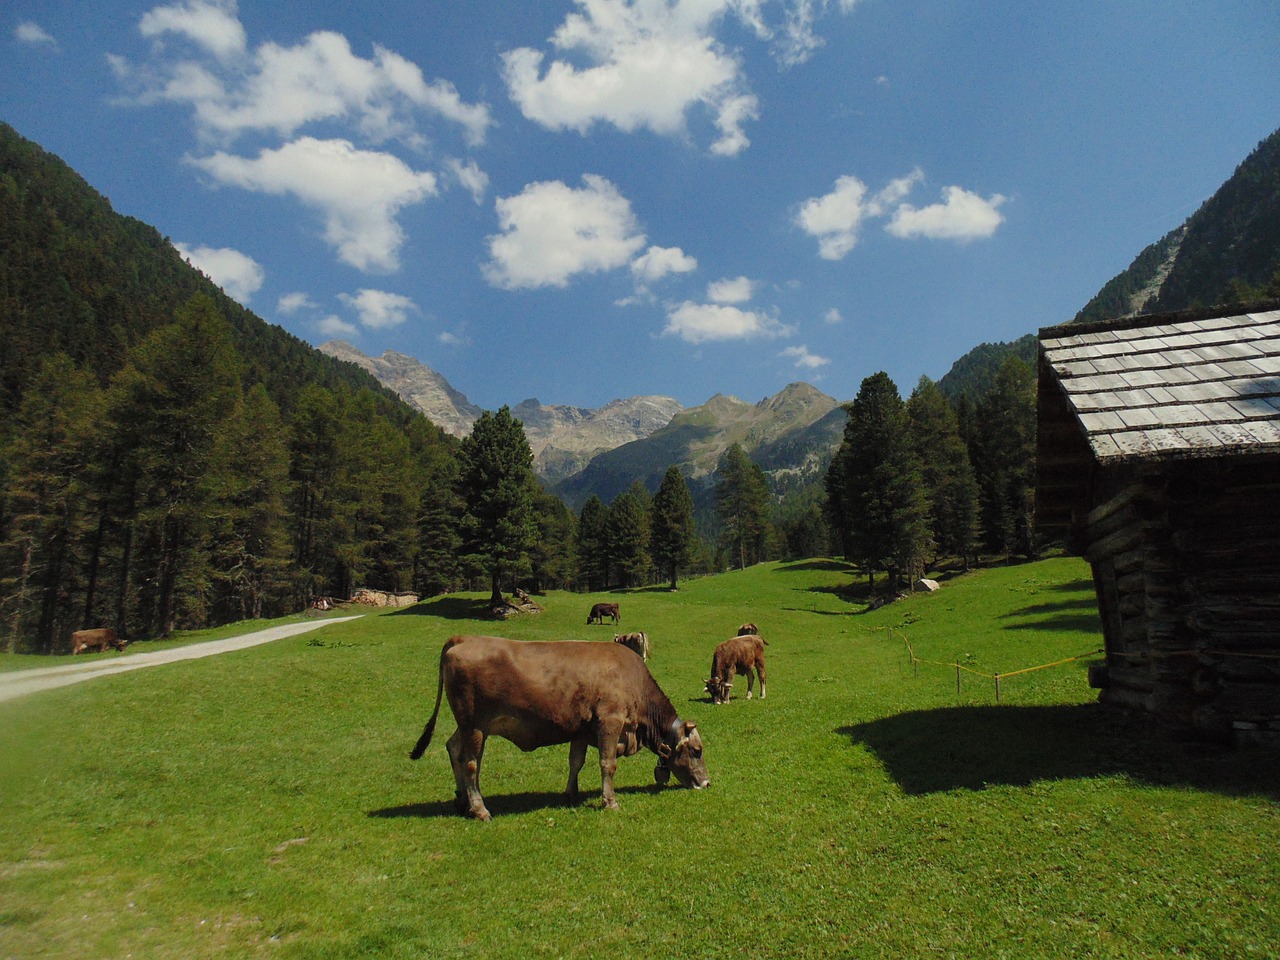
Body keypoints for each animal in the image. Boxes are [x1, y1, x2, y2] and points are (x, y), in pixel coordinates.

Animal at [409, 634, 711, 824]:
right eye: (697, 751)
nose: (707, 783)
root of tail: (463, 638)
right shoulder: (610, 722)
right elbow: (607, 764)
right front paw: (609, 801)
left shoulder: (581, 730)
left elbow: (575, 762)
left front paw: (570, 793)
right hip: (475, 727)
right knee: (471, 763)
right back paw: (479, 808)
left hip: (466, 726)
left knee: (453, 748)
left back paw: (462, 800)